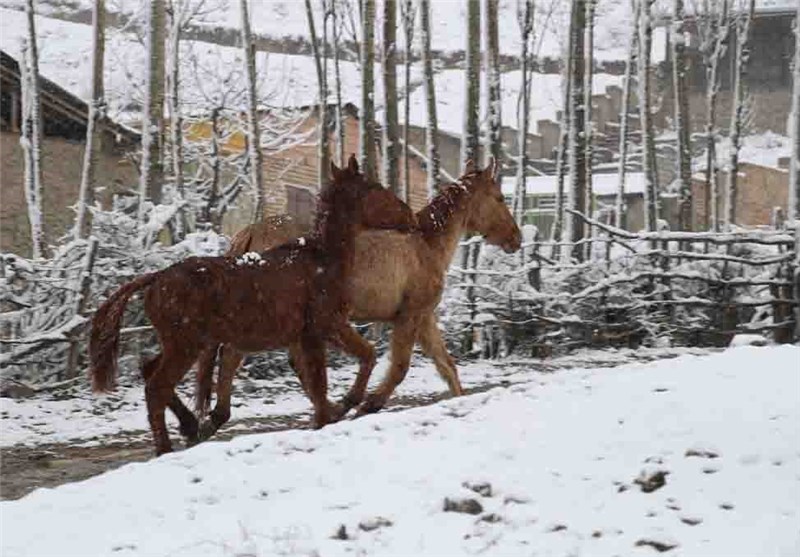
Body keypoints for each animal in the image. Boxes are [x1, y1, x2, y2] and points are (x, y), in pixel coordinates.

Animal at [88, 155, 417, 455]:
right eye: (375, 187)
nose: (410, 216)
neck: (322, 259)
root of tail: (155, 278)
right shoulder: (322, 328)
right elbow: (331, 375)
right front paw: (341, 408)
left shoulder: (313, 333)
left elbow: (353, 362)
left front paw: (341, 407)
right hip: (185, 344)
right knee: (156, 388)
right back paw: (167, 447)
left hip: (181, 343)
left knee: (149, 371)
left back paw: (190, 425)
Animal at [195, 158, 521, 435]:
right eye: (500, 198)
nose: (516, 239)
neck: (426, 245)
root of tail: (247, 237)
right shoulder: (409, 316)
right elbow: (399, 367)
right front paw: (368, 404)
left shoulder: (425, 318)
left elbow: (447, 367)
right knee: (240, 356)